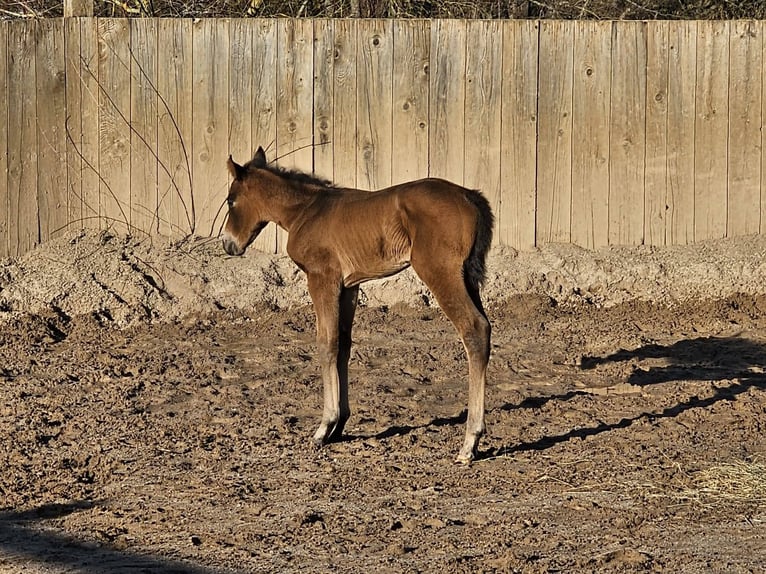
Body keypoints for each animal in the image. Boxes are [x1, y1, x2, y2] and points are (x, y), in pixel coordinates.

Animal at [222, 147, 498, 464]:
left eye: (230, 200)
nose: (228, 245)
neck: (306, 210)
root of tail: (468, 196)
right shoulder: (349, 286)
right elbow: (343, 344)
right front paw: (339, 426)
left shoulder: (322, 278)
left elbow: (326, 343)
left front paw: (323, 428)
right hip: (467, 277)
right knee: (485, 329)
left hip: (439, 271)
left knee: (474, 329)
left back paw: (469, 443)